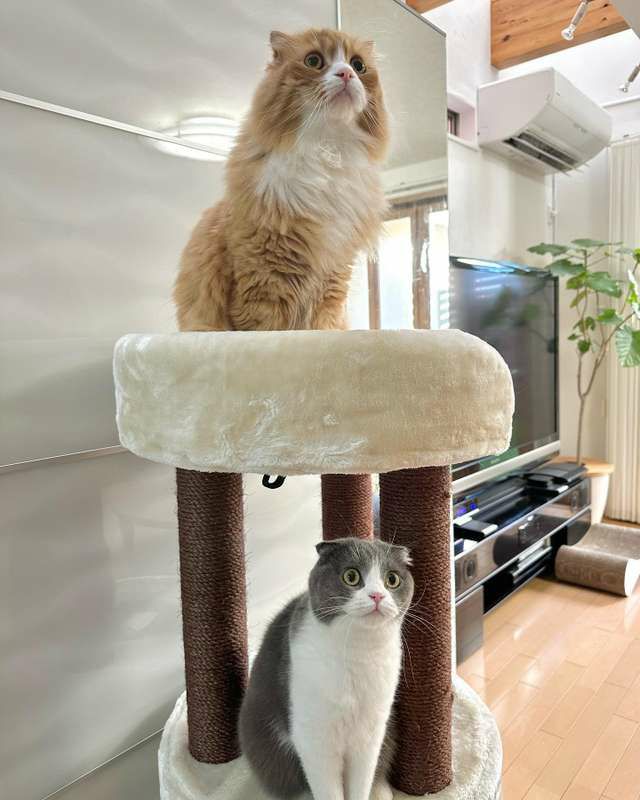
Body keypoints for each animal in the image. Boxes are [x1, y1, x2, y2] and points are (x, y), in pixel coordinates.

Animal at [174, 28, 389, 332]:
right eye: (313, 61)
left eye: (358, 65)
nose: (346, 73)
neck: (327, 151)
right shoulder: (265, 276)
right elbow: (267, 327)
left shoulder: (333, 275)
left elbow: (324, 325)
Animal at [239, 538, 414, 800]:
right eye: (351, 576)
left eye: (392, 579)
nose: (377, 596)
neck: (357, 653)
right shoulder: (315, 739)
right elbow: (328, 790)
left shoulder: (370, 735)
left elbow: (361, 783)